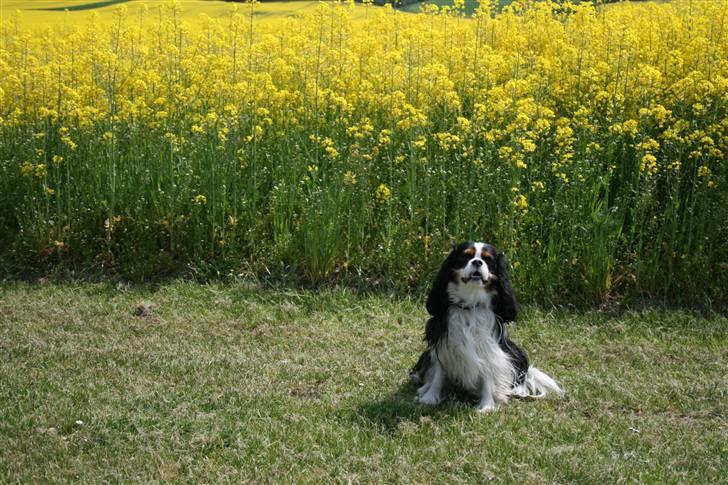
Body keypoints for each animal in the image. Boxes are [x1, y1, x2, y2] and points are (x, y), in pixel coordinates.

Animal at [410, 240, 564, 410]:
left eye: (488, 259)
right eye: (466, 256)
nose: (477, 262)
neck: (471, 304)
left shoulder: (490, 348)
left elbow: (489, 374)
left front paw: (487, 406)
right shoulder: (441, 342)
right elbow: (438, 372)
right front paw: (430, 397)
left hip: (515, 352)